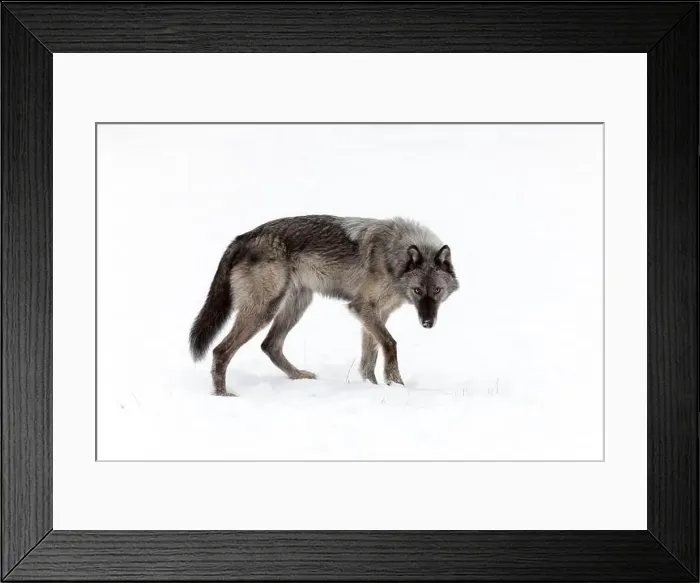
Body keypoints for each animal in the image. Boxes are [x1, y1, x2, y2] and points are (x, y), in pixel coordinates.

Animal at [189, 215, 459, 396]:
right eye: (417, 291)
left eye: (437, 291)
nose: (427, 323)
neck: (394, 258)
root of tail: (241, 238)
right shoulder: (362, 308)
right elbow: (390, 344)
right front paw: (396, 384)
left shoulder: (375, 313)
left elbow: (368, 360)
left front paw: (373, 387)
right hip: (264, 310)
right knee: (221, 351)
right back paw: (223, 395)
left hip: (297, 303)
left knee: (269, 345)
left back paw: (299, 376)